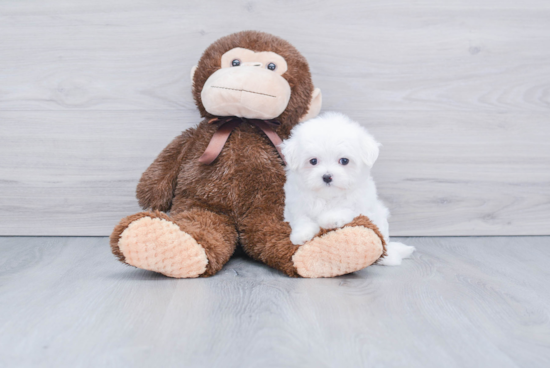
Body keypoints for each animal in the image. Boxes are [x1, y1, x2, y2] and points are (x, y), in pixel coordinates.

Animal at [282, 110, 416, 266]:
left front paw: (331, 218)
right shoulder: (296, 203)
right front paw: (302, 234)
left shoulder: (360, 205)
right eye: (313, 161)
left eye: (344, 161)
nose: (327, 176)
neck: (328, 196)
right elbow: (302, 218)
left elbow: (346, 208)